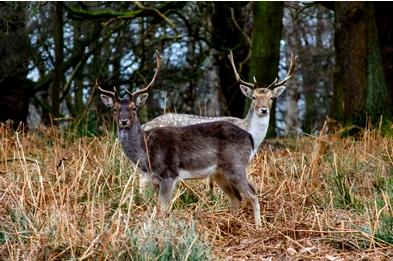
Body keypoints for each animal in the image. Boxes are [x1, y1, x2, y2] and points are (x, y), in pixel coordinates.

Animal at [99, 50, 262, 228]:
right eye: (115, 109)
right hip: (220, 173)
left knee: (253, 193)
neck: (146, 151)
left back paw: (258, 228)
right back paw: (231, 224)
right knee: (236, 198)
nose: (124, 121)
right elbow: (158, 207)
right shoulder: (154, 179)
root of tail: (249, 137)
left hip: (236, 165)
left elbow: (162, 210)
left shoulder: (169, 175)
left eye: (133, 107)